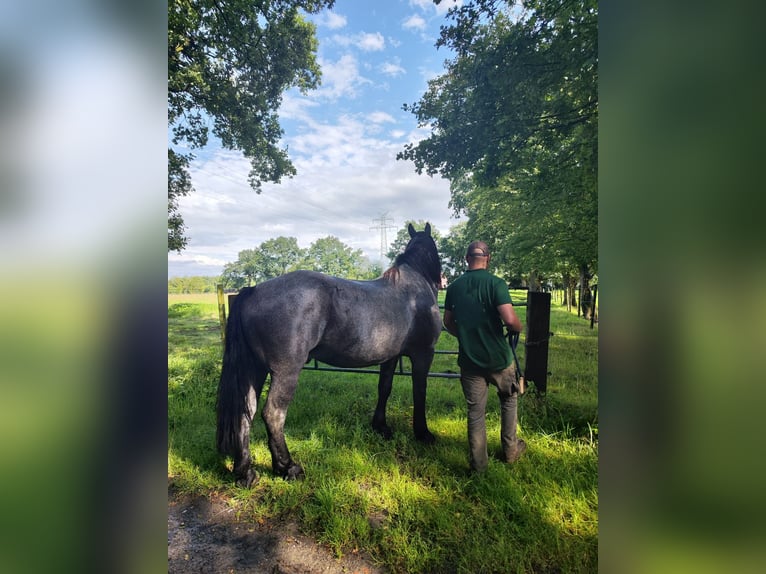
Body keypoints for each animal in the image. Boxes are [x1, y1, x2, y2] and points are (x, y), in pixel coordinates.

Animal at [216, 223, 444, 488]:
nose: (442, 280)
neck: (413, 290)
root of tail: (253, 290)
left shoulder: (390, 357)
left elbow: (384, 388)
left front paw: (381, 427)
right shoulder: (423, 354)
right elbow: (420, 392)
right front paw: (423, 433)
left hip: (254, 369)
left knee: (246, 413)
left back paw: (245, 473)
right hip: (285, 372)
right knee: (273, 414)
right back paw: (289, 467)